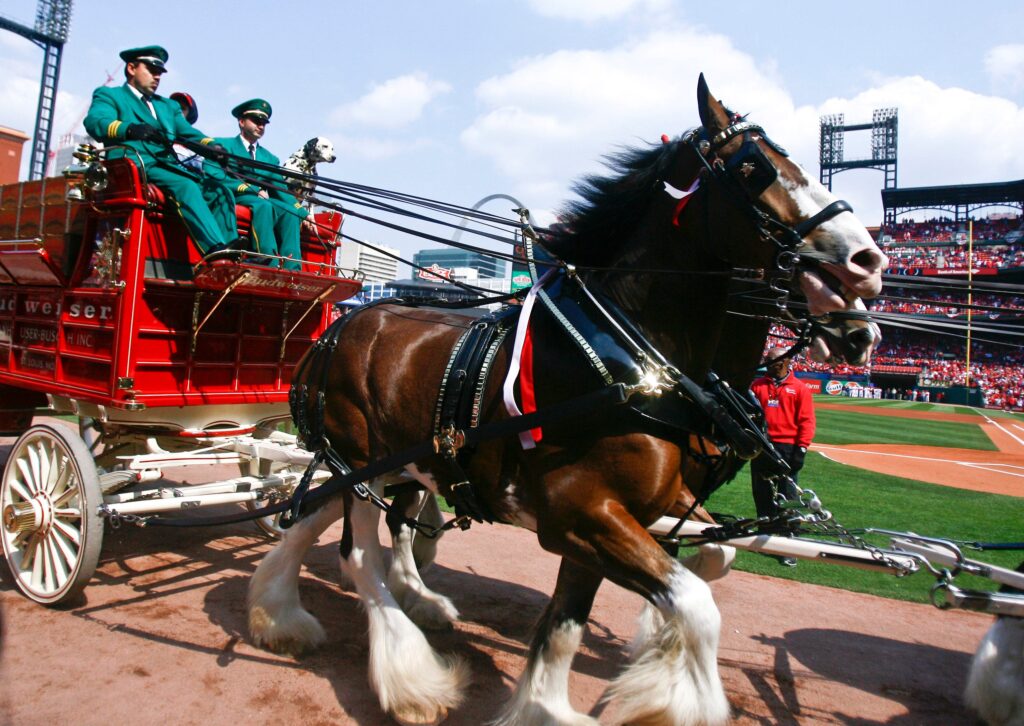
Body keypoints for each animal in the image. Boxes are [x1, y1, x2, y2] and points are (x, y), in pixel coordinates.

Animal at [249, 76, 888, 720]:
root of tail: (341, 324)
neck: (628, 359)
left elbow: (579, 619)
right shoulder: (579, 512)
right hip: (358, 458)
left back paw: (289, 611)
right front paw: (665, 699)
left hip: (391, 462)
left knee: (325, 517)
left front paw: (556, 700)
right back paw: (408, 676)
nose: (869, 263)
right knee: (358, 553)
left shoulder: (623, 516)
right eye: (755, 167)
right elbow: (696, 604)